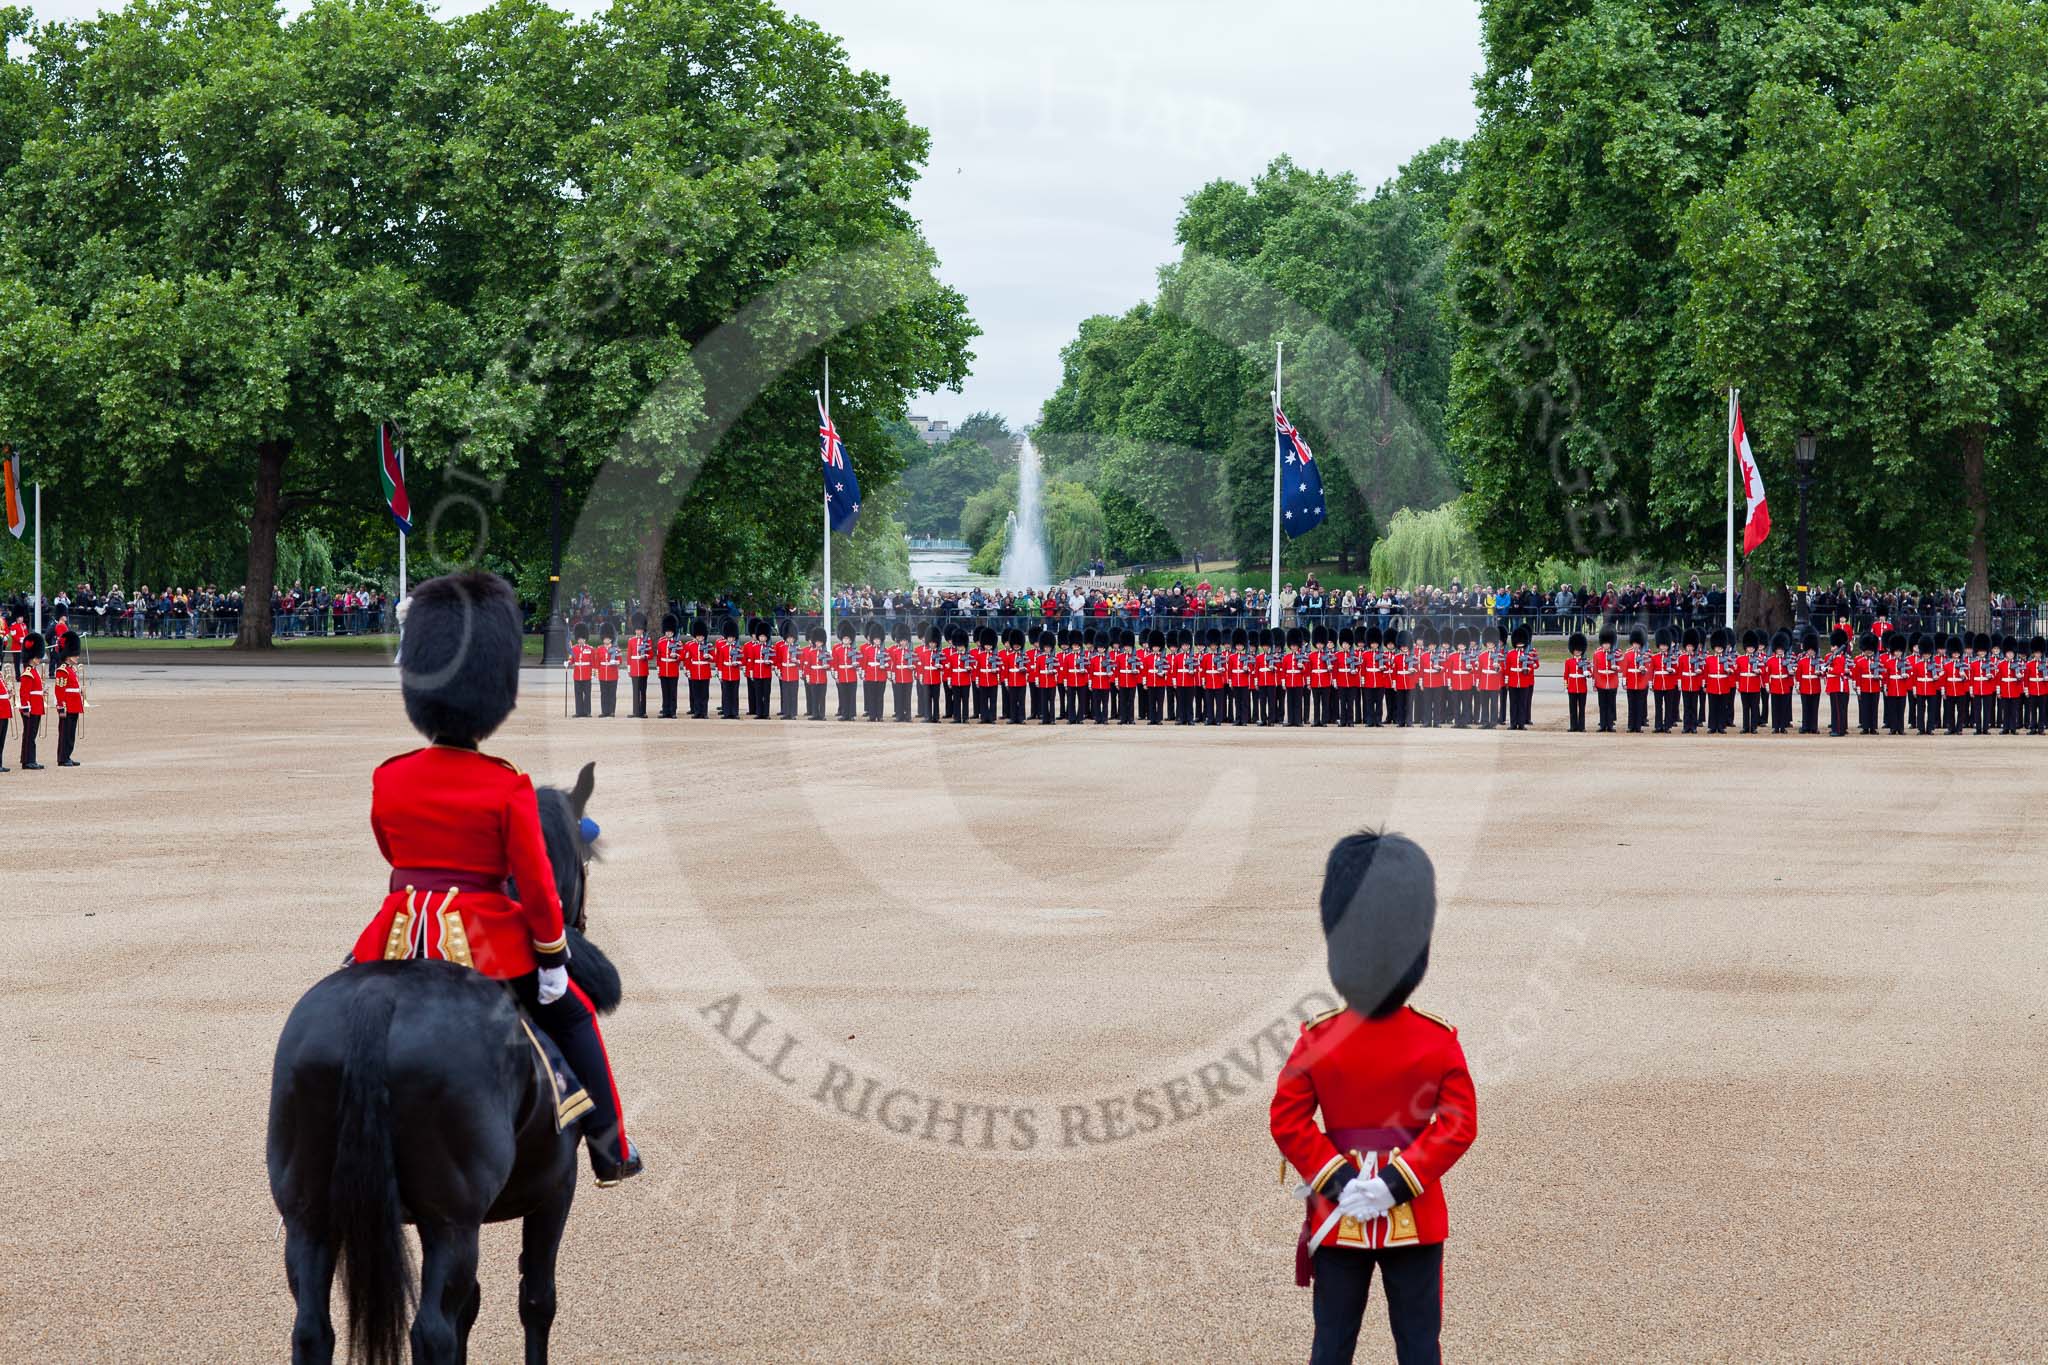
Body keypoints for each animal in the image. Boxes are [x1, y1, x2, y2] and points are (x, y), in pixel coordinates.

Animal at [272, 769, 622, 1365]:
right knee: (429, 1331)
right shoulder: (556, 1187)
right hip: (450, 1222)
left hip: (308, 1214)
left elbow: (472, 1308)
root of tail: (378, 1001)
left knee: (312, 1328)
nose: (575, 927)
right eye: (583, 859)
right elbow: (536, 1299)